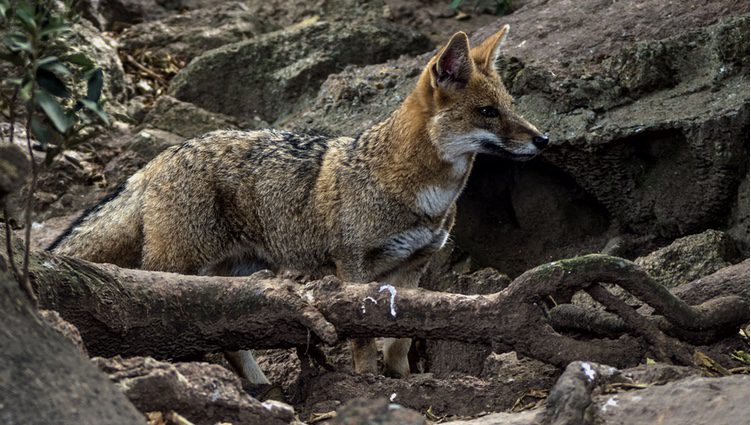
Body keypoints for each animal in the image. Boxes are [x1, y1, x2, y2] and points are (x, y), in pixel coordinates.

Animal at [50, 25, 548, 384]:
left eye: (510, 106)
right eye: (487, 112)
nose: (543, 139)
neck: (417, 189)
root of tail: (159, 158)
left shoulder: (412, 269)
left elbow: (401, 339)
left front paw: (403, 380)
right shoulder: (353, 266)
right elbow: (364, 337)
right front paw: (365, 383)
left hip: (236, 275)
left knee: (227, 333)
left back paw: (259, 388)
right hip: (179, 268)